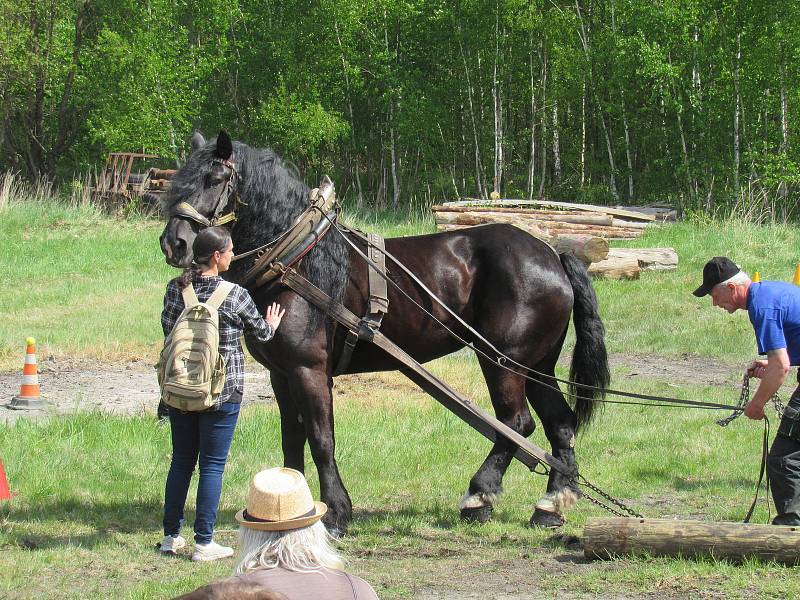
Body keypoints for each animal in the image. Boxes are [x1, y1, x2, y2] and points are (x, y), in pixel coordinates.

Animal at [159, 131, 608, 536]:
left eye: (215, 178)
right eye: (179, 180)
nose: (174, 243)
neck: (300, 262)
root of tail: (552, 254)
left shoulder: (309, 370)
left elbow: (321, 438)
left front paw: (337, 513)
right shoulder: (281, 374)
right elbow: (292, 439)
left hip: (502, 361)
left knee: (515, 424)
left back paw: (479, 496)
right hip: (537, 365)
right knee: (560, 424)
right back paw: (551, 504)